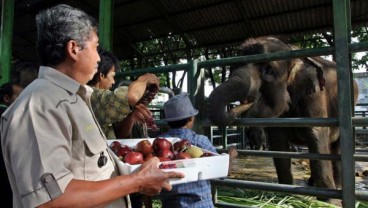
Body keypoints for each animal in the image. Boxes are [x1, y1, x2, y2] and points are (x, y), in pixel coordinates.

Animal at [207, 36, 360, 199]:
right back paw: (311, 183)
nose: (233, 110)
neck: (292, 53)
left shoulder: (314, 97)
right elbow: (279, 145)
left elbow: (317, 137)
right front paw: (287, 195)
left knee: (336, 148)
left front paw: (329, 201)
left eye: (268, 70)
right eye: (232, 67)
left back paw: (337, 185)